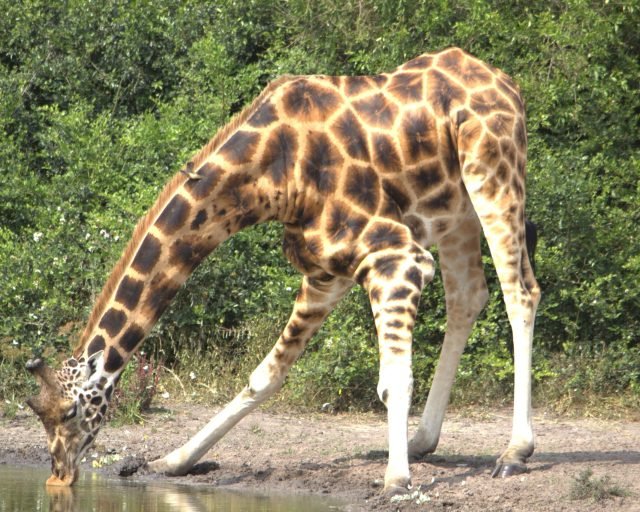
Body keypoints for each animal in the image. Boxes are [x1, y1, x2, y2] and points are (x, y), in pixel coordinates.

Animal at [26, 47, 540, 493]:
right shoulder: (327, 271)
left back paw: (514, 452)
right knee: (468, 298)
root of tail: (508, 83)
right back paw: (420, 442)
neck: (270, 176)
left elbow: (391, 380)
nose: (59, 474)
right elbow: (265, 376)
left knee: (520, 292)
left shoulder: (396, 258)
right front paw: (174, 460)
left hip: (493, 174)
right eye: (39, 413)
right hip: (454, 213)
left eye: (70, 412)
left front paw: (397, 482)